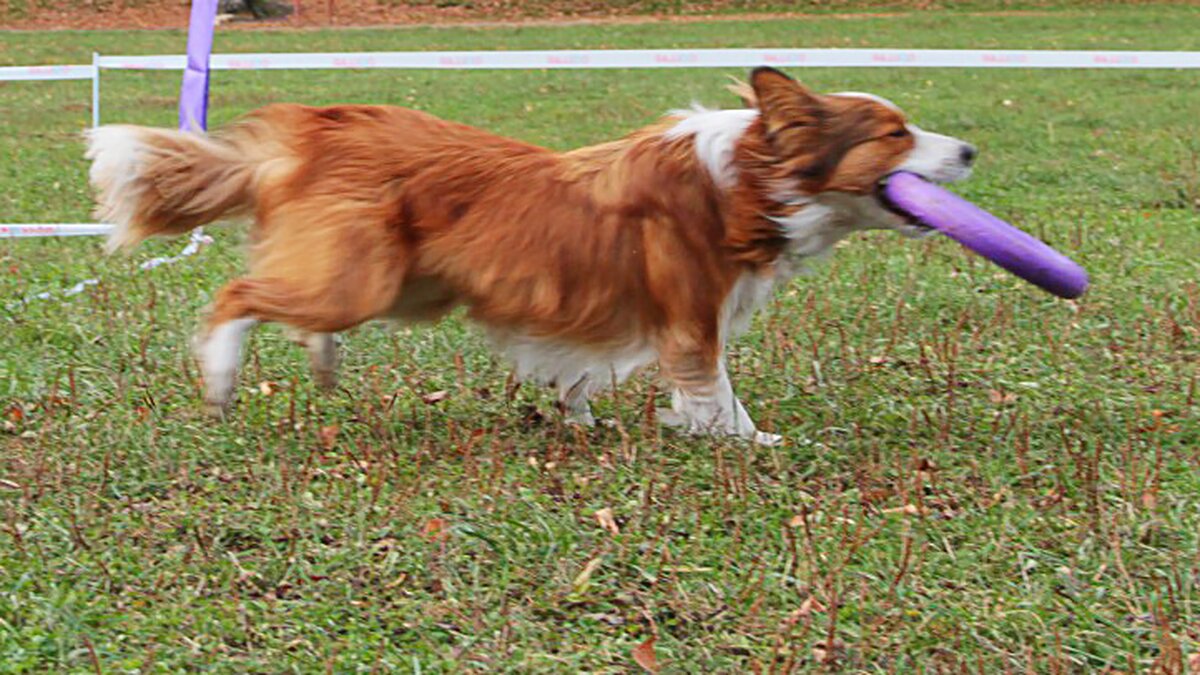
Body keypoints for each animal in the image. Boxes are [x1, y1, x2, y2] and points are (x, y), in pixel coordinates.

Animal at [91, 66, 974, 441]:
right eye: (894, 132)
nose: (969, 149)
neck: (751, 179)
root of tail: (311, 132)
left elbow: (585, 374)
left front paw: (580, 417)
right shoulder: (691, 320)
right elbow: (716, 391)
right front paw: (750, 443)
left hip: (397, 283)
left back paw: (322, 357)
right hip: (360, 278)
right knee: (236, 295)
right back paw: (222, 375)